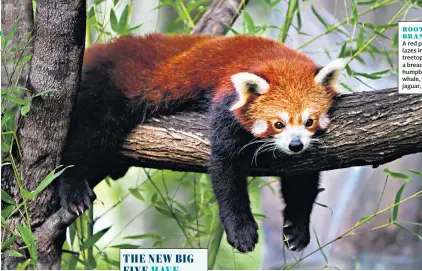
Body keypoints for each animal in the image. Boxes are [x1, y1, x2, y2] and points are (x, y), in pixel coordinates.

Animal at [58, 33, 342, 254]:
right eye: (278, 124)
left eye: (309, 121)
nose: (295, 145)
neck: (276, 58)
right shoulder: (226, 102)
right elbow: (226, 170)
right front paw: (241, 231)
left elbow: (302, 181)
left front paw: (297, 229)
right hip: (104, 89)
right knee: (88, 136)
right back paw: (72, 188)